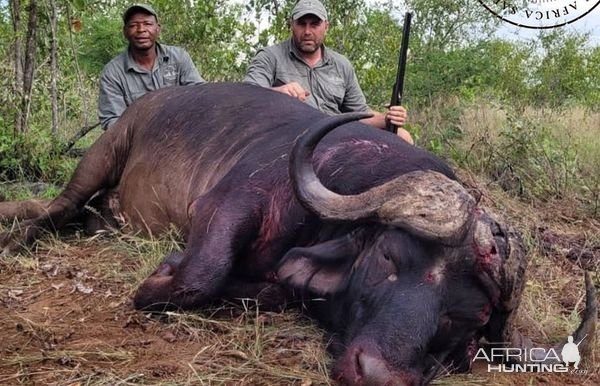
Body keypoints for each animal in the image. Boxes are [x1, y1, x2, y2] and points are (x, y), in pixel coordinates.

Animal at [1, 83, 596, 384]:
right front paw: (161, 276)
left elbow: (262, 289)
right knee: (56, 207)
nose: (378, 375)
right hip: (103, 153)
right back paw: (19, 233)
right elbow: (200, 272)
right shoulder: (228, 203)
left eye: (467, 317)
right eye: (388, 257)